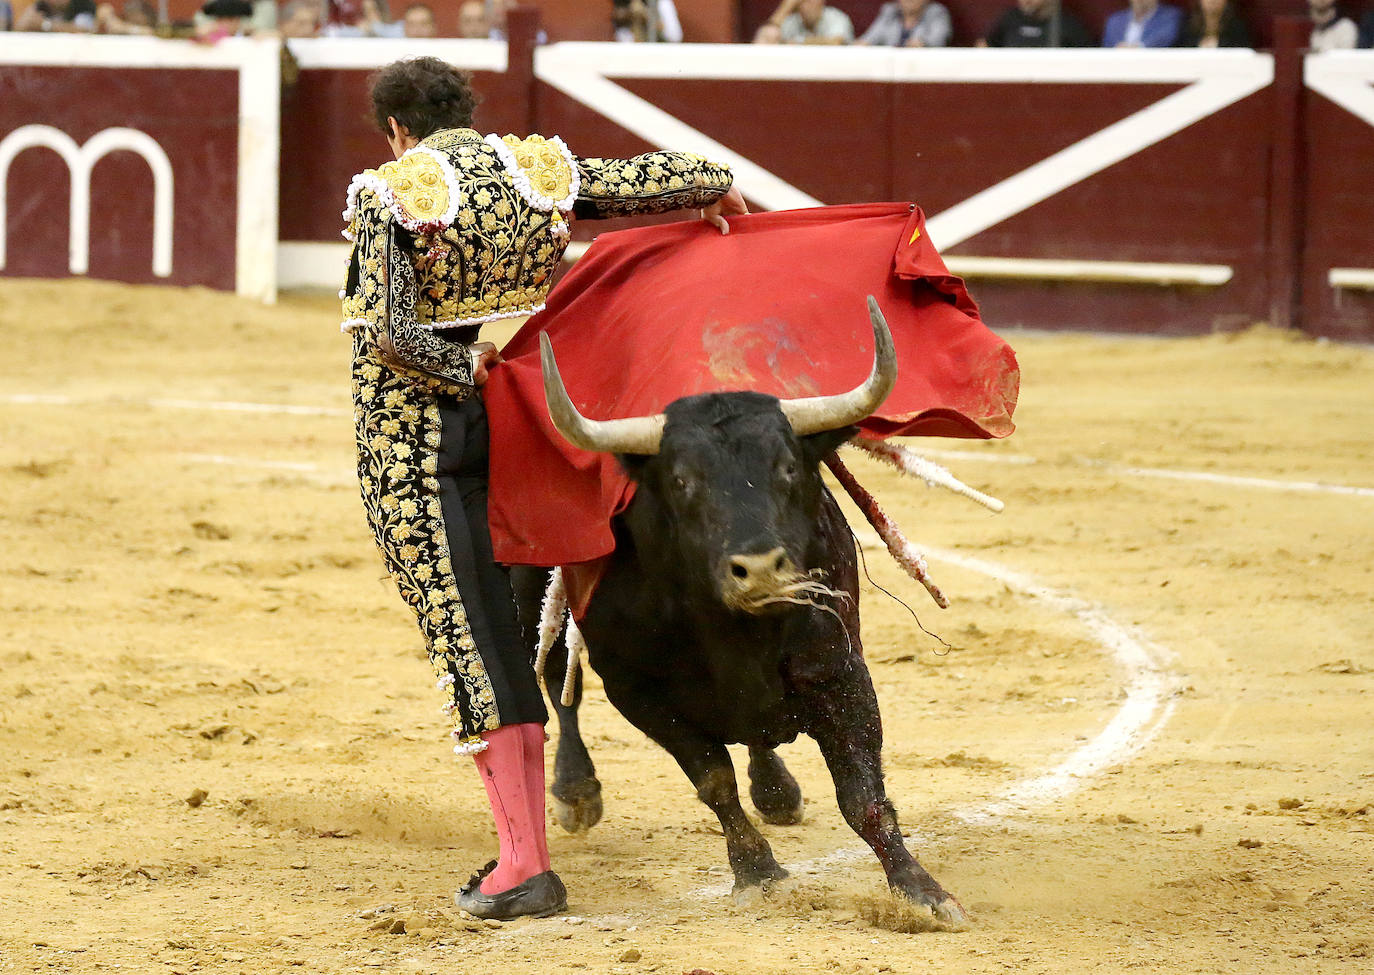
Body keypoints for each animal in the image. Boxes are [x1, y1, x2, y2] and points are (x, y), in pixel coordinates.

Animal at [511, 299, 972, 933]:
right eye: (681, 481)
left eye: (788, 468)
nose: (759, 570)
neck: (736, 634)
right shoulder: (639, 693)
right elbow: (713, 780)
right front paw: (758, 874)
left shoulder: (839, 670)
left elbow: (862, 795)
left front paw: (923, 892)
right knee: (561, 683)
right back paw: (576, 791)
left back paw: (777, 791)